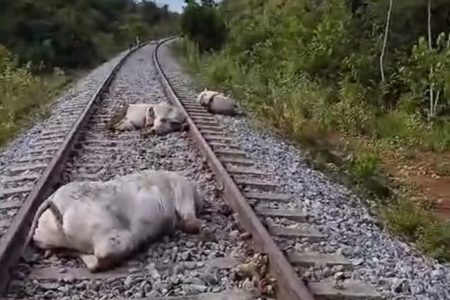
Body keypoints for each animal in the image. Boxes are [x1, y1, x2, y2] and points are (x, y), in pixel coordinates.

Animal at [26, 171, 202, 272]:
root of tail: (53, 200)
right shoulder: (182, 192)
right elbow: (191, 223)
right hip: (115, 236)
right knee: (101, 258)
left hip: (42, 235)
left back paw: (56, 252)